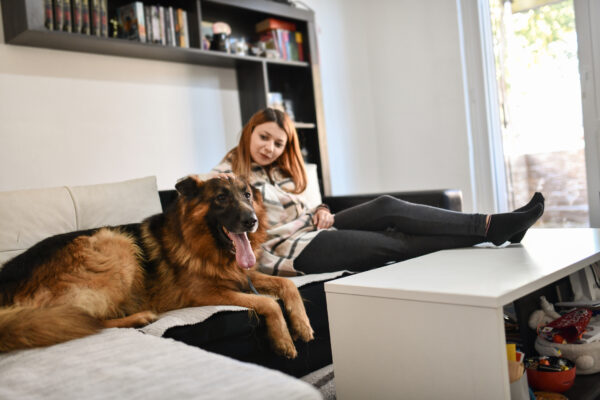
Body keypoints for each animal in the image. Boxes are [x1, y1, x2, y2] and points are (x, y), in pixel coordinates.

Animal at [0, 177, 316, 358]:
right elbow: (267, 303)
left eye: (247, 195)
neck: (203, 245)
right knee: (86, 319)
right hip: (115, 243)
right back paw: (139, 317)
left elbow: (286, 284)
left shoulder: (243, 275)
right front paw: (283, 338)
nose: (252, 221)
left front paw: (302, 324)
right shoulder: (207, 294)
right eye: (221, 198)